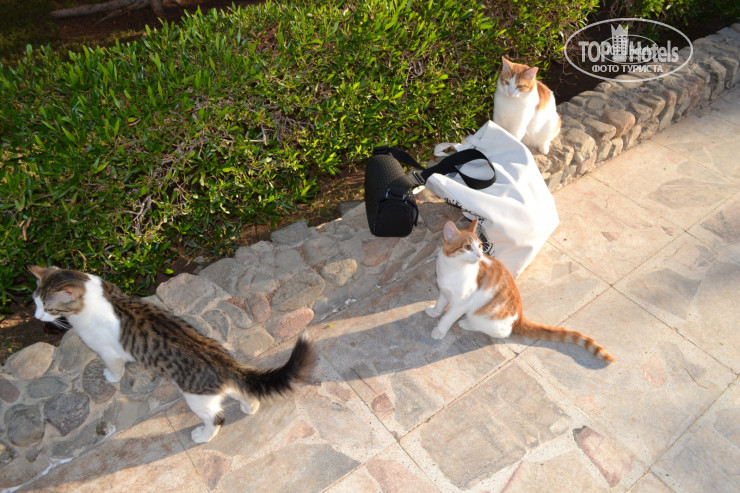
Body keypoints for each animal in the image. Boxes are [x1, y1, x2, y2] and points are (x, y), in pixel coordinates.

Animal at [29, 265, 317, 443]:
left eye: (48, 307)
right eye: (35, 302)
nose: (36, 317)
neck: (98, 298)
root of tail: (222, 361)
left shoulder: (108, 351)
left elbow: (114, 367)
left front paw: (110, 377)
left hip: (196, 398)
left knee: (217, 417)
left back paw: (202, 436)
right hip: (219, 389)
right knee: (242, 392)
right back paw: (249, 407)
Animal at [425, 221, 615, 364]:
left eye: (479, 246)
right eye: (467, 247)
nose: (479, 255)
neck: (453, 268)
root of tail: (519, 317)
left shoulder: (461, 303)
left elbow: (448, 317)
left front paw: (439, 330)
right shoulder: (444, 290)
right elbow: (440, 304)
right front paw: (434, 312)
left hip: (484, 317)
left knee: (499, 331)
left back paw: (467, 324)